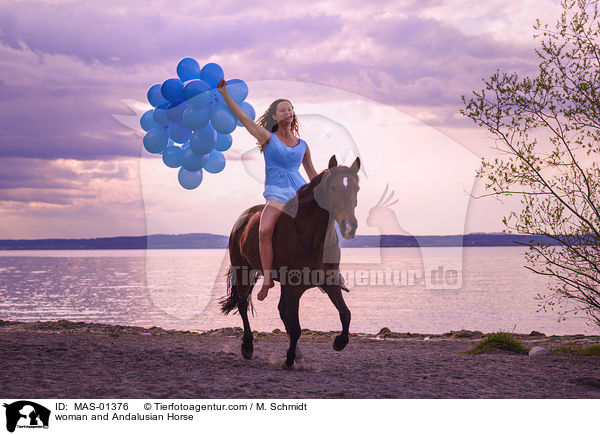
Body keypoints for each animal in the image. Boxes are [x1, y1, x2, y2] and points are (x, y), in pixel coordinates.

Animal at [220, 156, 360, 368]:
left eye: (356, 188)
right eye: (334, 187)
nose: (349, 227)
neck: (311, 239)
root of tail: (243, 218)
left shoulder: (329, 281)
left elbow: (346, 314)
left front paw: (339, 342)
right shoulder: (293, 286)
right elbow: (295, 326)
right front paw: (288, 359)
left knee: (279, 311)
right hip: (243, 271)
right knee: (243, 305)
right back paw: (248, 347)